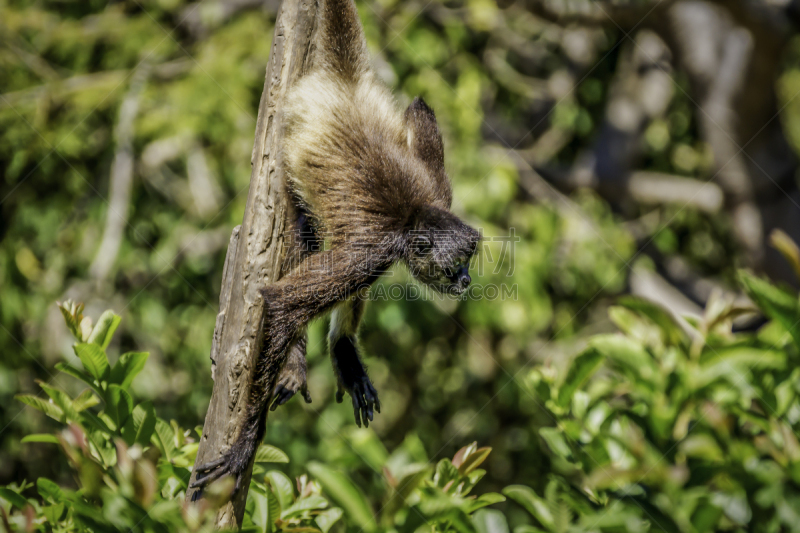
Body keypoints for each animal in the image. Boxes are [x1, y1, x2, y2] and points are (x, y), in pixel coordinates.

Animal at [190, 0, 478, 494]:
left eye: (467, 262)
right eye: (454, 264)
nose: (465, 280)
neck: (411, 217)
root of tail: (345, 85)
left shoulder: (434, 196)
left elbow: (420, 106)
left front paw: (343, 347)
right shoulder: (376, 249)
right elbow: (281, 301)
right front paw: (246, 442)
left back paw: (339, 348)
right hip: (288, 147)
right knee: (303, 230)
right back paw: (294, 362)